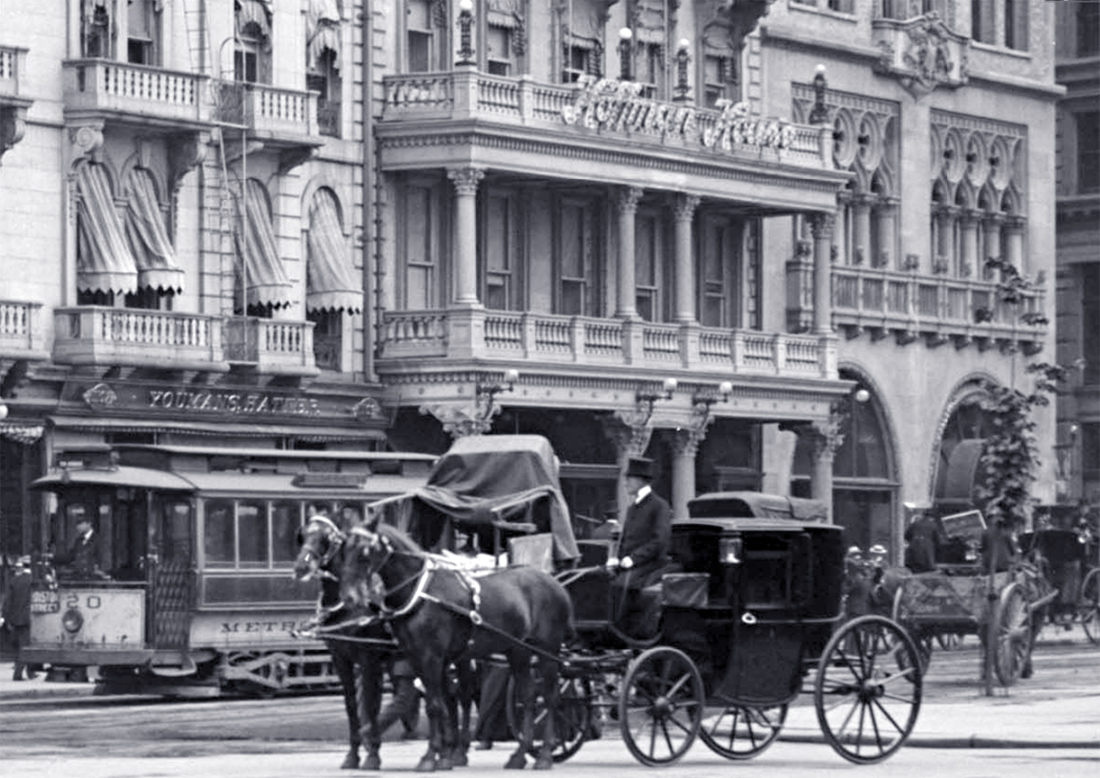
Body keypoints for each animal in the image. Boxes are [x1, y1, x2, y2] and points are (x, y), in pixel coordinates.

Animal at [338, 523, 572, 774]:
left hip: (548, 650)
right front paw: (444, 756)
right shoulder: (418, 656)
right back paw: (519, 755)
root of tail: (556, 584)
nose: (349, 597)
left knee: (549, 697)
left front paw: (430, 757)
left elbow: (434, 705)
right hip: (518, 651)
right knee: (528, 696)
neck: (421, 594)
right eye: (344, 549)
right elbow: (443, 703)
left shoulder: (431, 656)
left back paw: (545, 755)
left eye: (365, 552)